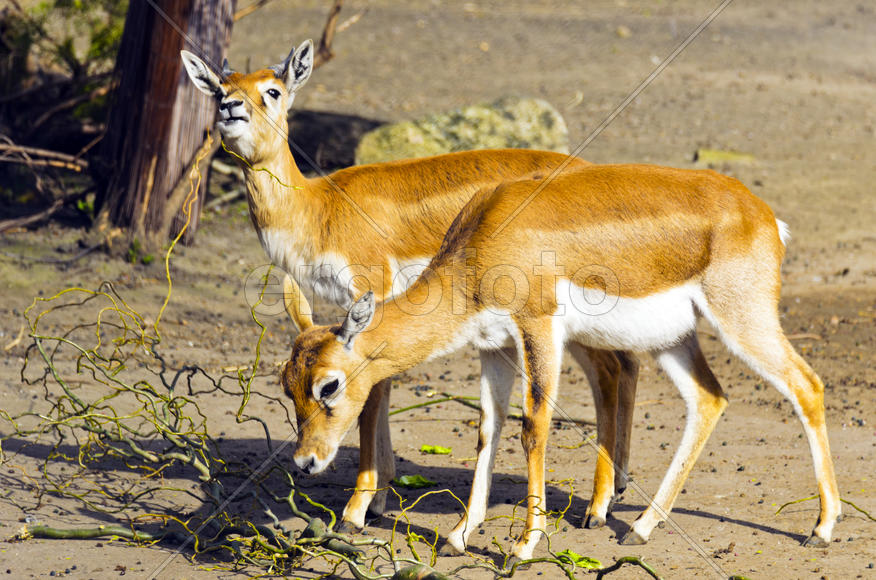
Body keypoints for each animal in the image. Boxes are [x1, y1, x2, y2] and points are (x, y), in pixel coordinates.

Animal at [180, 41, 639, 537]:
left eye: (273, 90)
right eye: (220, 88)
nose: (231, 108)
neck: (319, 208)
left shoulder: (372, 289)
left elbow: (373, 394)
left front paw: (357, 510)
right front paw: (378, 499)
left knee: (610, 372)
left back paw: (598, 507)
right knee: (626, 365)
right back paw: (617, 488)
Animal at [282, 163, 841, 559]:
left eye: (329, 386)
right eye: (288, 386)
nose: (306, 461)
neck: (484, 237)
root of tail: (763, 215)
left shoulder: (539, 328)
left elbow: (534, 426)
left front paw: (524, 546)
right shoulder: (495, 347)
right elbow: (488, 429)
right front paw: (460, 535)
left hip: (743, 322)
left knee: (807, 385)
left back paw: (821, 529)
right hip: (674, 339)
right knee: (709, 398)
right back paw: (640, 529)